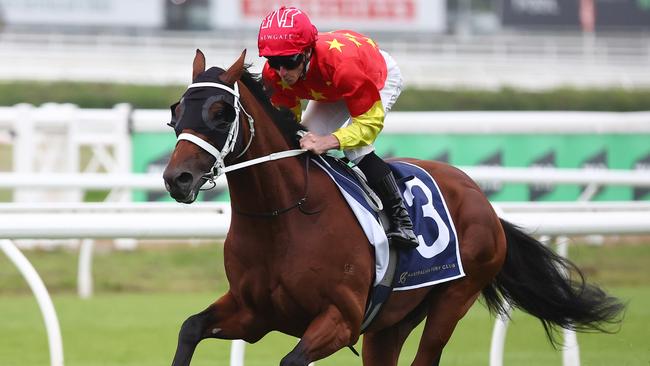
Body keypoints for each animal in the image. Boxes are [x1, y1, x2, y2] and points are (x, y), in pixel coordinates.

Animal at [162, 49, 624, 366]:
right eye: (176, 111)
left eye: (221, 112)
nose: (176, 178)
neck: (283, 217)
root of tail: (481, 199)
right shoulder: (253, 313)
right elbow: (189, 328)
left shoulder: (341, 318)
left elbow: (291, 358)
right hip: (392, 321)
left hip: (453, 298)